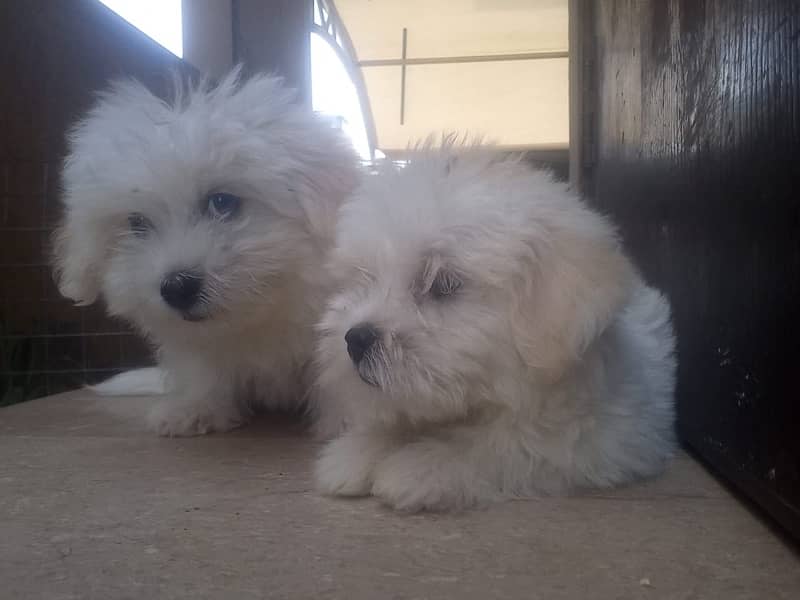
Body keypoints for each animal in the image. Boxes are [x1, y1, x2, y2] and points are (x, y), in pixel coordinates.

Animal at [53, 69, 360, 436]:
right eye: (137, 223)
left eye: (222, 202)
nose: (177, 287)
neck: (266, 314)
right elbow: (204, 369)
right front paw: (196, 409)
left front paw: (348, 418)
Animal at [312, 143, 676, 508]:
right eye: (366, 278)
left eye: (443, 284)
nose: (356, 339)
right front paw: (356, 451)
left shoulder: (600, 439)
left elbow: (509, 444)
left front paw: (421, 467)